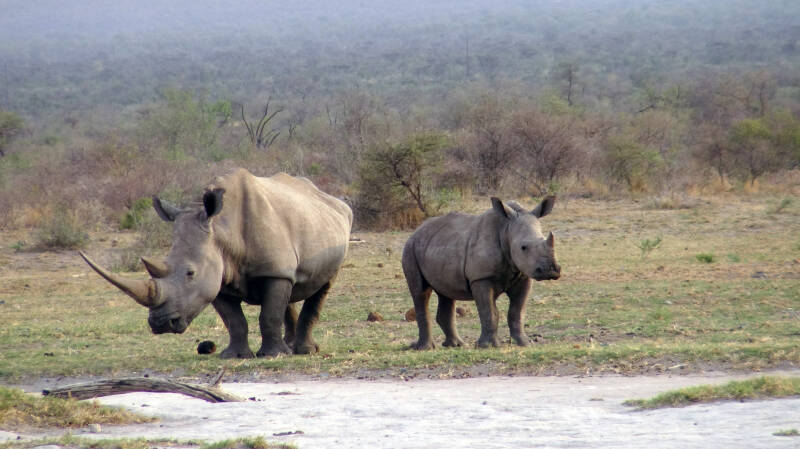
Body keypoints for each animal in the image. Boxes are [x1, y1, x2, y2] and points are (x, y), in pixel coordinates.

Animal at [80, 168, 353, 358]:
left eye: (190, 273)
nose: (160, 324)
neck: (222, 229)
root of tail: (332, 198)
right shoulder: (217, 278)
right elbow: (234, 320)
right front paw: (235, 356)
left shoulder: (271, 271)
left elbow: (269, 314)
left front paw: (272, 356)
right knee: (291, 286)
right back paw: (289, 346)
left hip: (337, 231)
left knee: (321, 286)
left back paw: (303, 351)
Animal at [402, 196, 560, 349]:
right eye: (523, 247)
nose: (551, 271)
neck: (506, 229)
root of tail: (416, 231)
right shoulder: (481, 278)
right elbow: (489, 312)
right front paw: (487, 346)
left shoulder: (524, 275)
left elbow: (517, 311)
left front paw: (525, 343)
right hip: (411, 249)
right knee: (420, 293)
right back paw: (425, 348)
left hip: (438, 247)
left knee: (445, 293)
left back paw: (457, 345)